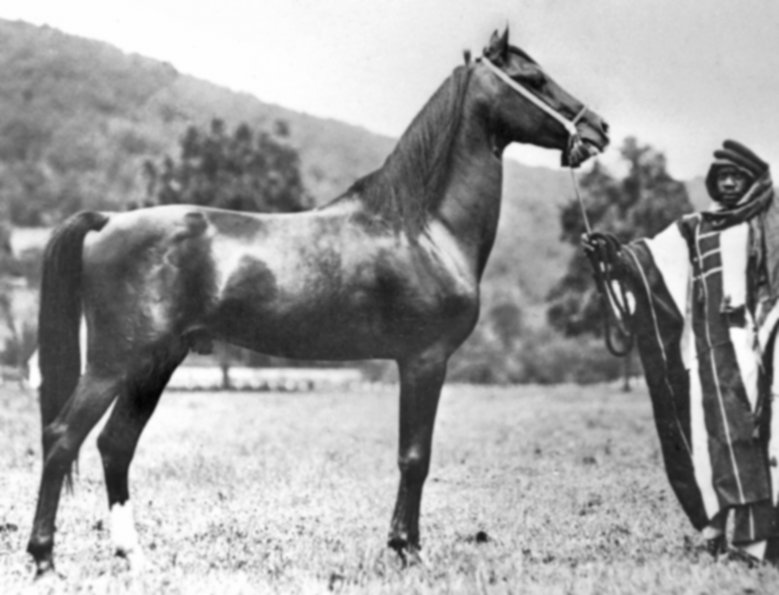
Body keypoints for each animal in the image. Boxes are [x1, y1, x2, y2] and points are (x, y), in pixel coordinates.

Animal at [27, 27, 609, 576]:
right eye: (533, 79)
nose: (598, 130)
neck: (422, 227)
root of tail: (108, 220)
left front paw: (405, 545)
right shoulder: (425, 360)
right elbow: (414, 457)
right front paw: (407, 549)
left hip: (154, 364)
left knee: (114, 444)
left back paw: (133, 555)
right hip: (113, 363)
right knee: (62, 438)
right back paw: (43, 557)